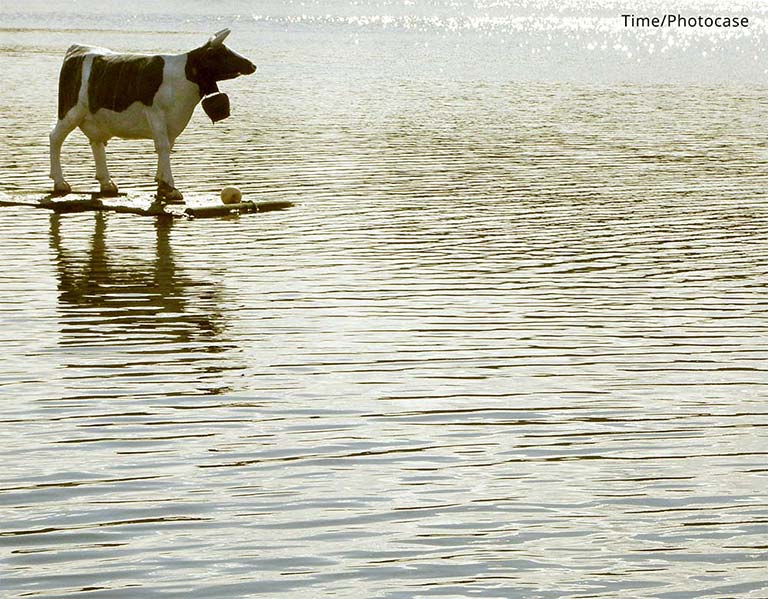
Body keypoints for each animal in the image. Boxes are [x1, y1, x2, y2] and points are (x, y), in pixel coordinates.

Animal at [49, 29, 256, 203]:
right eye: (223, 53)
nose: (252, 65)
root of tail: (78, 47)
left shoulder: (173, 119)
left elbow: (167, 145)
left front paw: (162, 186)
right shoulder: (155, 111)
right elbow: (162, 145)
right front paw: (170, 187)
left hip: (95, 117)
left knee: (97, 142)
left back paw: (107, 184)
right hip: (70, 111)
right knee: (55, 137)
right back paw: (60, 182)